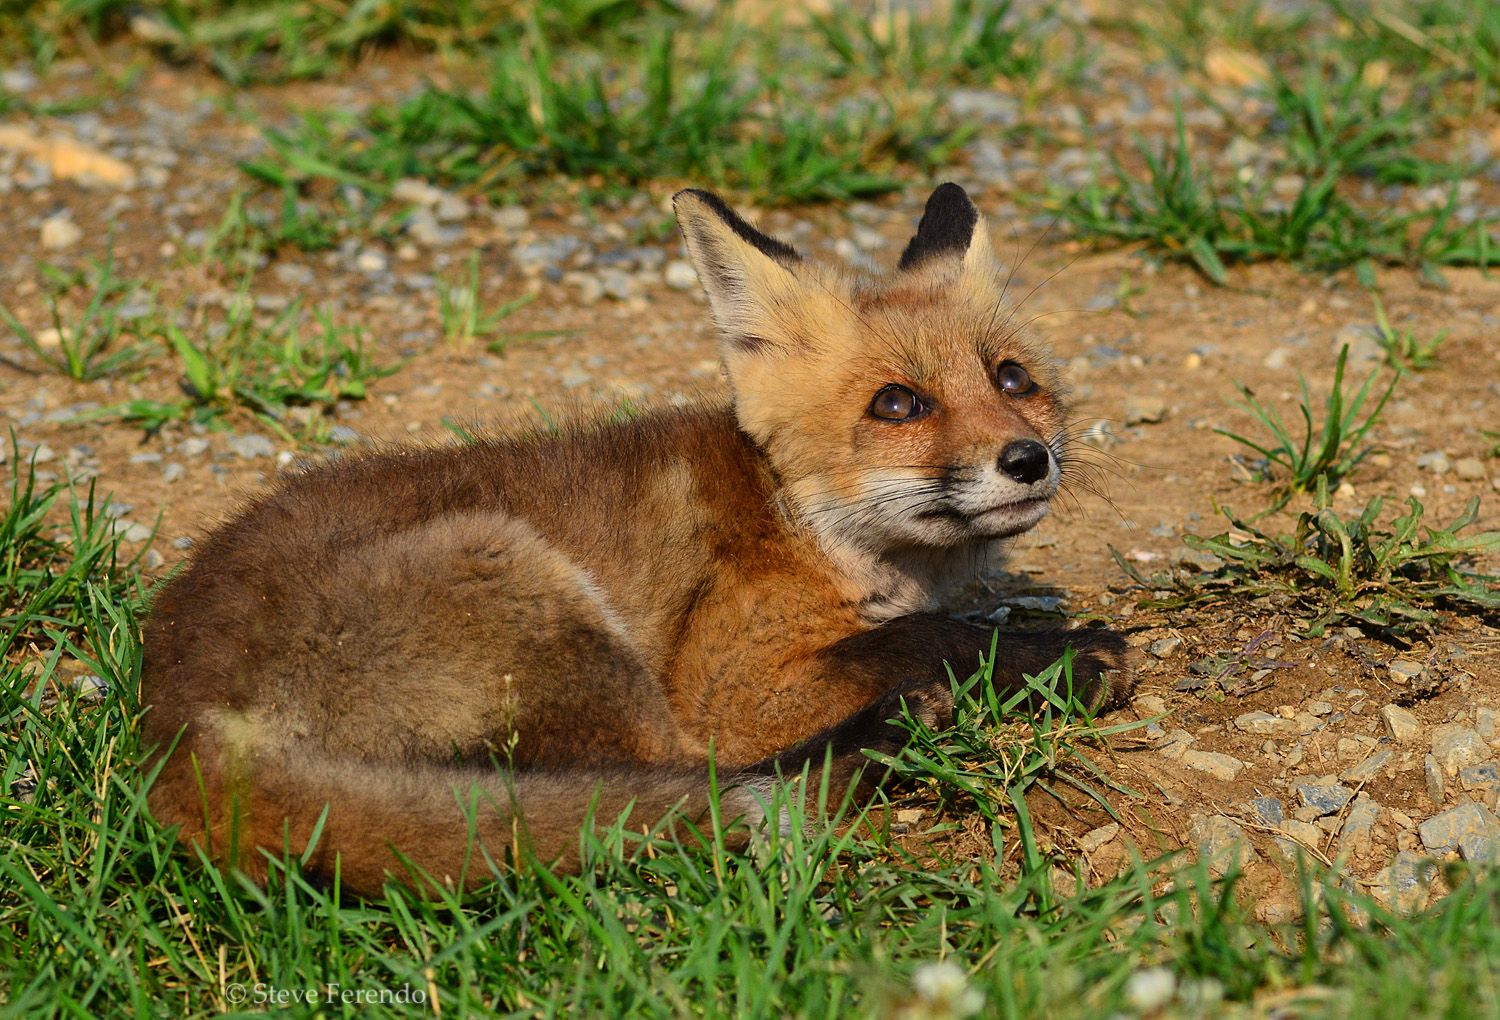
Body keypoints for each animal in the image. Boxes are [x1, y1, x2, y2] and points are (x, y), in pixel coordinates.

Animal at [140, 182, 1131, 896]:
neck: (797, 519)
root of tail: (176, 723)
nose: (1028, 458)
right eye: (898, 404)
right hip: (527, 582)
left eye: (1013, 379)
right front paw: (1062, 657)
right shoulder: (733, 683)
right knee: (689, 775)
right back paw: (886, 741)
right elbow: (921, 636)